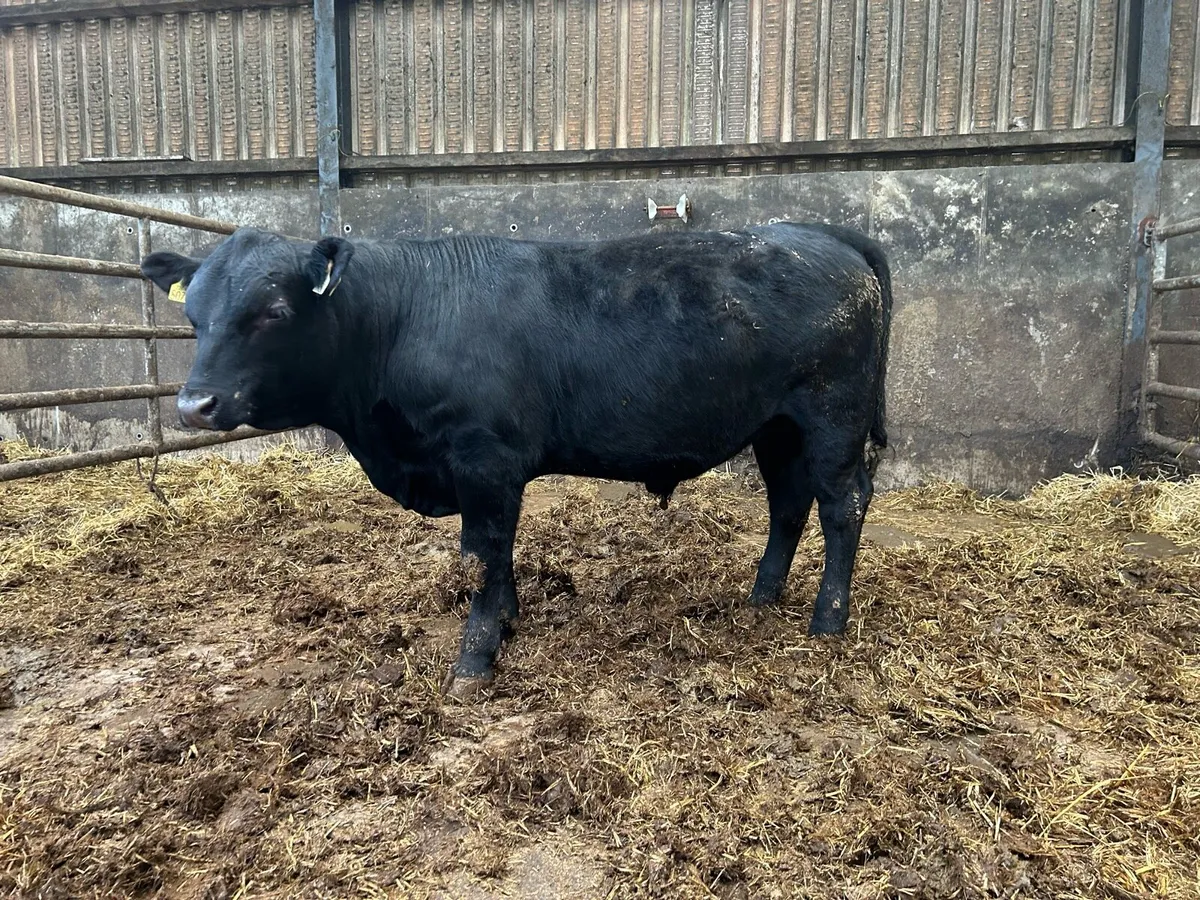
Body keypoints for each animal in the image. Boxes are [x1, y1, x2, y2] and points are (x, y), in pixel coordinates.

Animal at [141, 222, 892, 695]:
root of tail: (824, 233)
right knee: (788, 504)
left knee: (841, 507)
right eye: (193, 316)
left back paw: (827, 622)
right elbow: (495, 559)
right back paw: (761, 600)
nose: (194, 405)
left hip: (832, 415)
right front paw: (505, 624)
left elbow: (481, 555)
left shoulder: (484, 458)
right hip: (776, 426)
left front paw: (474, 661)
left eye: (273, 310)